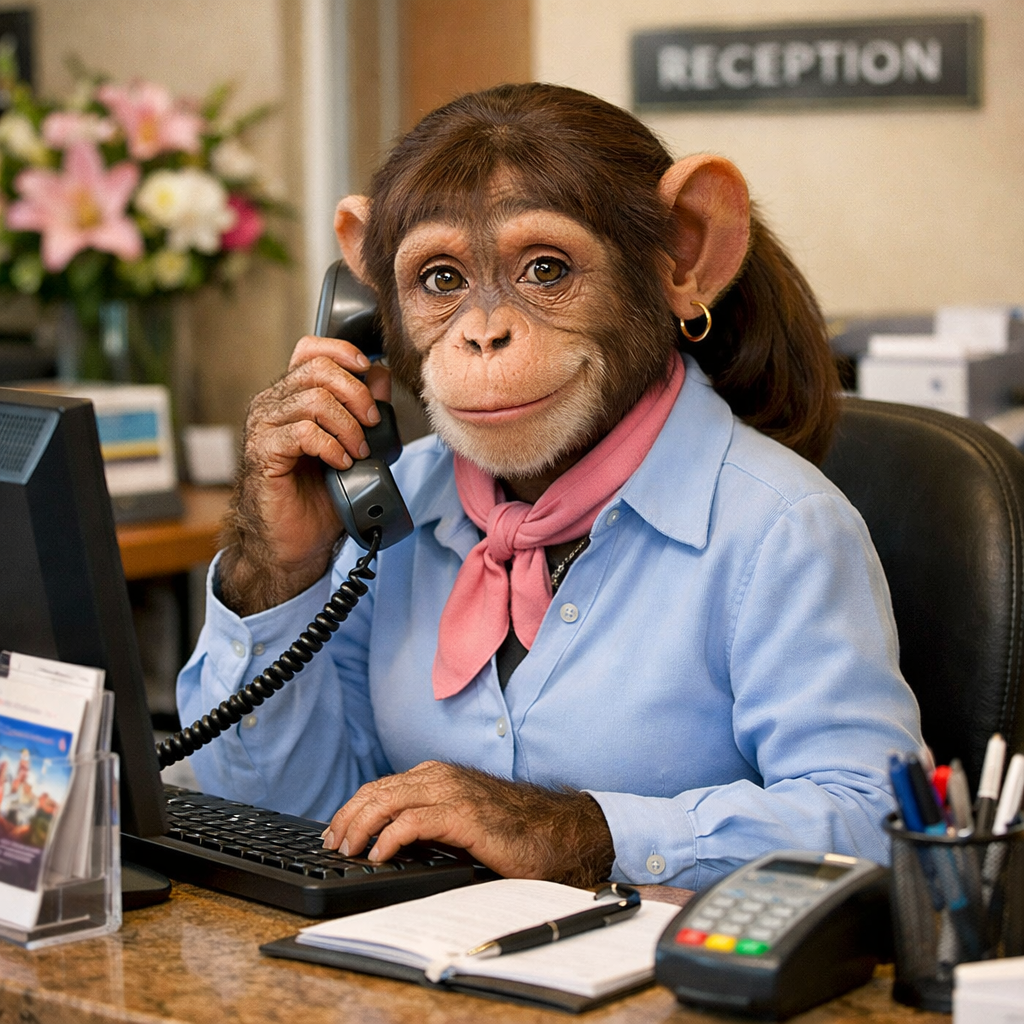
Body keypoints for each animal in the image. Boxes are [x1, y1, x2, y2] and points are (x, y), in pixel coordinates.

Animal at [182, 84, 922, 889]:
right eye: (443, 279)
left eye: (544, 270)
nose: (484, 338)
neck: (543, 511)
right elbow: (313, 781)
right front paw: (294, 436)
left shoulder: (811, 536)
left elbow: (848, 791)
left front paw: (479, 808)